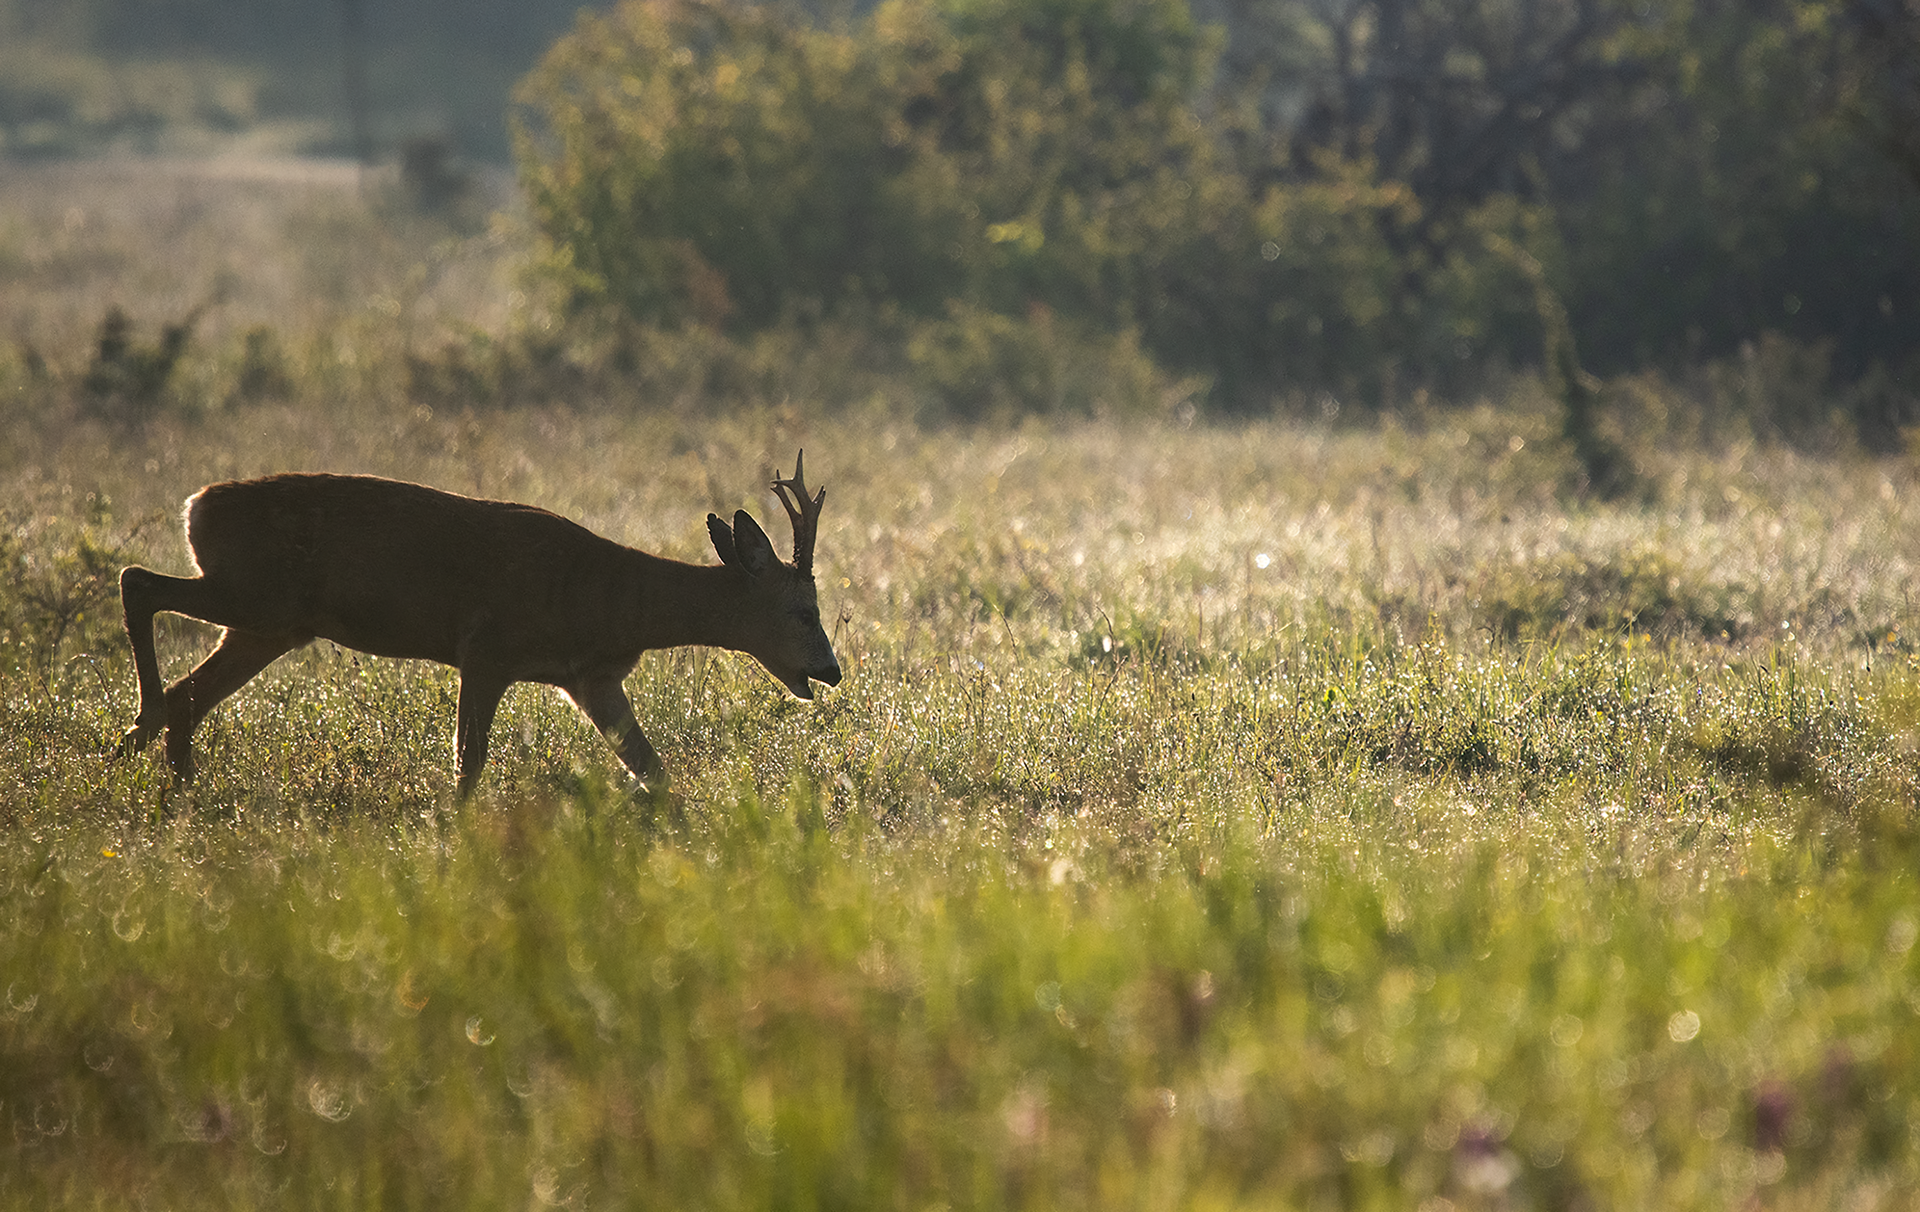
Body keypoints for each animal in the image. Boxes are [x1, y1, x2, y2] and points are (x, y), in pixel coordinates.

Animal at [113, 452, 840, 798]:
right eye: (803, 610)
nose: (832, 671)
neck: (609, 599)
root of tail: (194, 506)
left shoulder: (591, 679)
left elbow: (654, 772)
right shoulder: (487, 648)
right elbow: (468, 763)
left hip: (270, 624)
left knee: (189, 693)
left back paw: (164, 778)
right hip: (254, 595)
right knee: (137, 583)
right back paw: (135, 734)